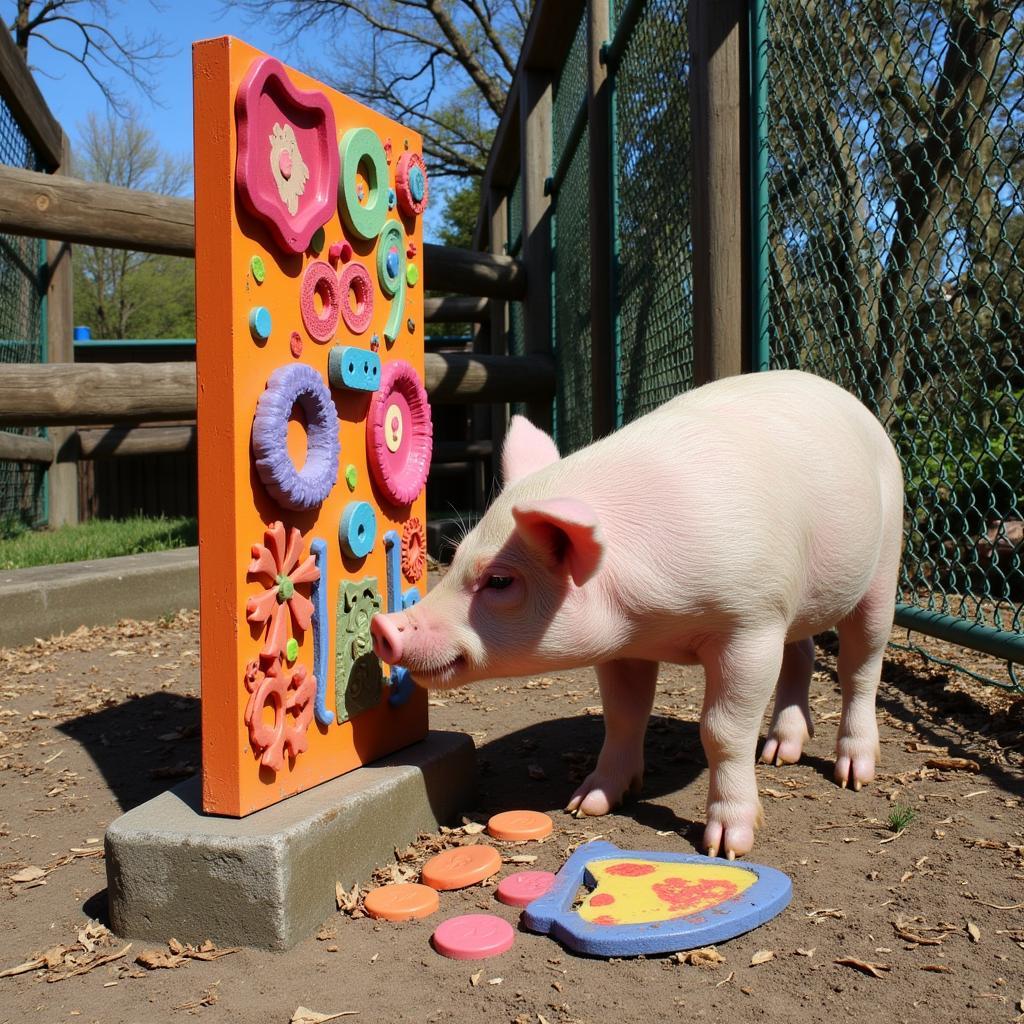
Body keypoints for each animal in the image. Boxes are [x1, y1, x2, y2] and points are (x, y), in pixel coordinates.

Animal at [370, 372, 905, 860]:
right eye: (457, 556)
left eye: (500, 581)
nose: (384, 626)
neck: (654, 619)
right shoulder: (625, 646)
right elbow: (623, 716)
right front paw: (586, 804)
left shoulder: (750, 622)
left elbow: (722, 731)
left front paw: (727, 848)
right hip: (794, 606)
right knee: (804, 651)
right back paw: (778, 754)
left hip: (884, 561)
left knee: (860, 666)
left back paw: (853, 775)